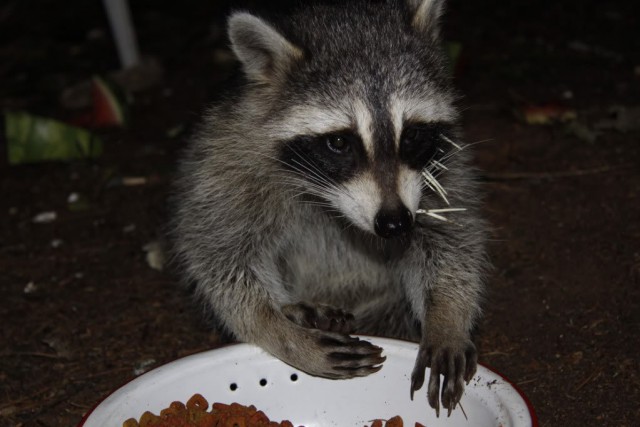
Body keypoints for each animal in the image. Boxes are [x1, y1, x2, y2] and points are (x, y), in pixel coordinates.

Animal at [172, 0, 488, 416]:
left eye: (413, 134)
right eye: (339, 142)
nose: (394, 224)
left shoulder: (441, 166)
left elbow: (451, 237)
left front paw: (446, 318)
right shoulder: (229, 159)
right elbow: (219, 255)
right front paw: (276, 327)